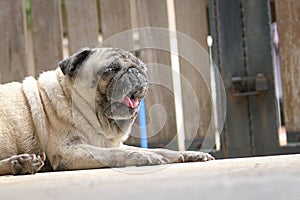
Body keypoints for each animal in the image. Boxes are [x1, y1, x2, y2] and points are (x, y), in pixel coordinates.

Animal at [0, 47, 213, 175]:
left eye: (142, 68)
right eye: (110, 69)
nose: (134, 71)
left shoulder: (109, 143)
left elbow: (158, 149)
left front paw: (186, 154)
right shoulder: (69, 151)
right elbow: (115, 154)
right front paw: (144, 158)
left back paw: (21, 163)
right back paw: (20, 164)